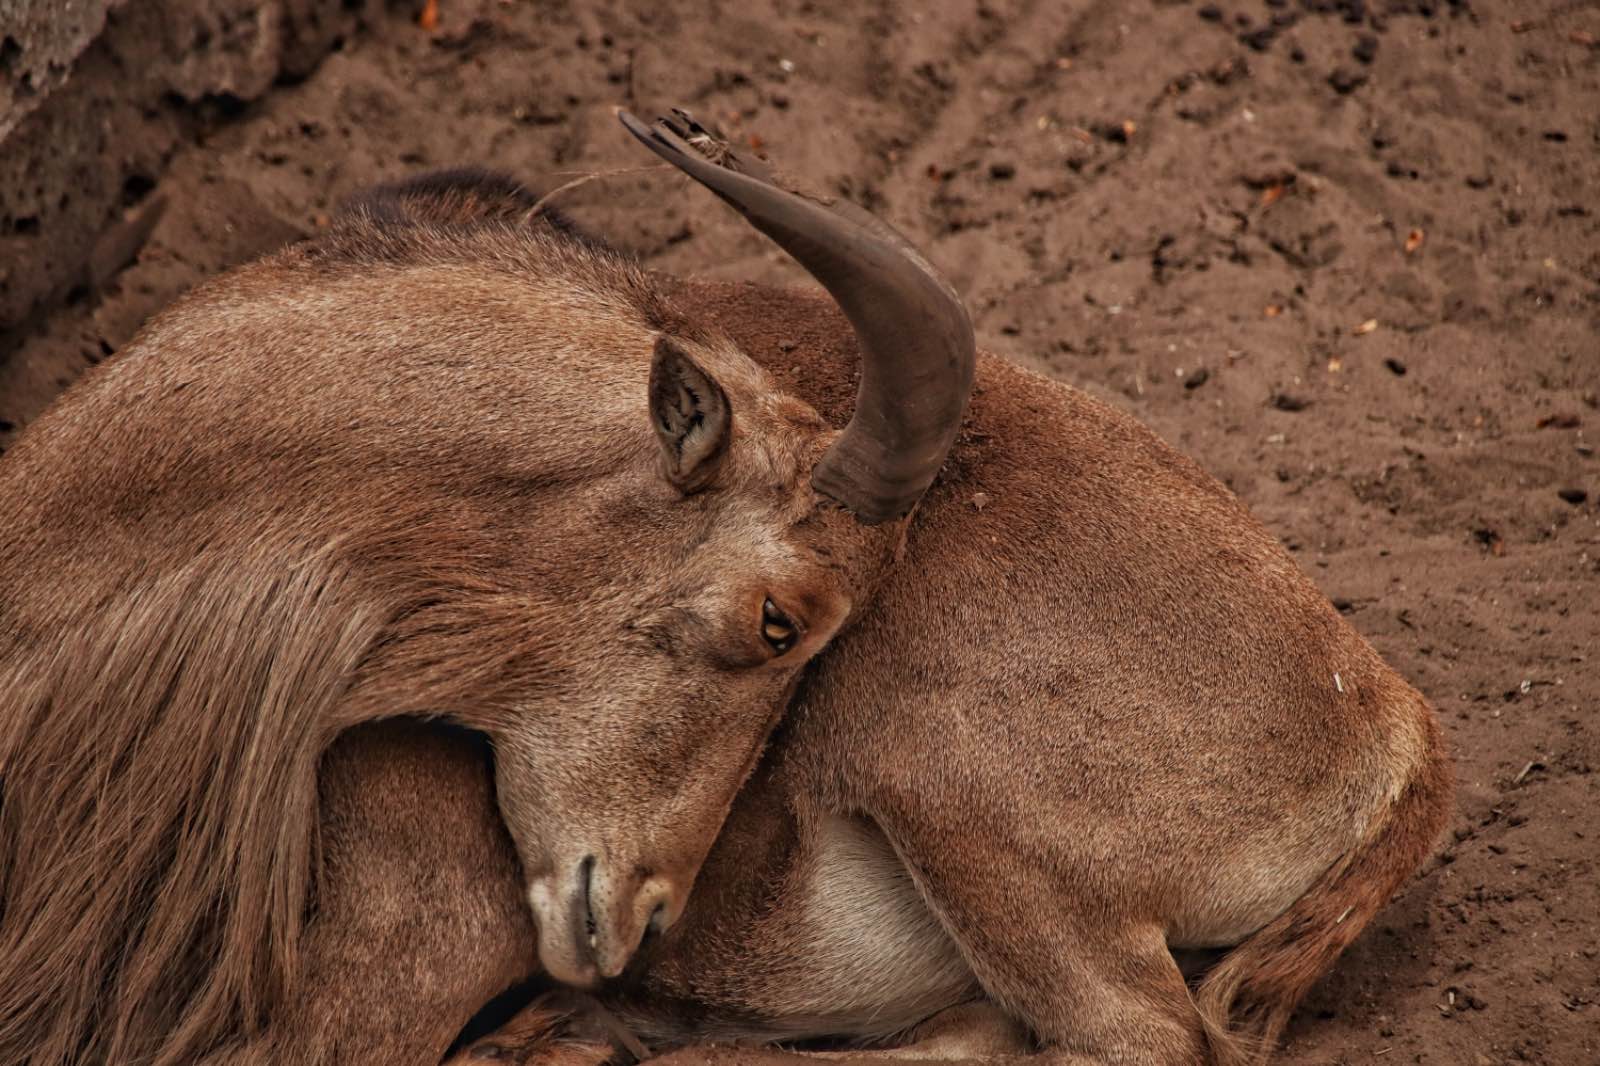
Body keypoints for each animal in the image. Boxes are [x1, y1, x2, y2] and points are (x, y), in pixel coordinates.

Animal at [0, 110, 1451, 1066]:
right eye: (778, 620)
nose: (644, 915)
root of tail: (1389, 719)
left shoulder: (383, 971)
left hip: (965, 806)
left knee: (1124, 1036)